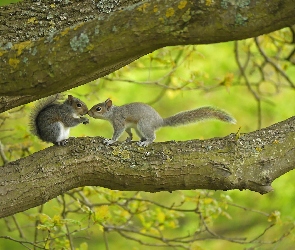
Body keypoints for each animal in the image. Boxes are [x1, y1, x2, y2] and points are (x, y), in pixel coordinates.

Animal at [88, 98, 236, 146]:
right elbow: (128, 132)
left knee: (152, 136)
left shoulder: (119, 121)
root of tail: (159, 121)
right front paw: (128, 139)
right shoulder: (127, 126)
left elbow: (117, 133)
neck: (113, 113)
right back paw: (141, 140)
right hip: (138, 127)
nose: (88, 113)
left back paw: (146, 142)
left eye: (98, 108)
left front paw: (110, 141)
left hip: (143, 124)